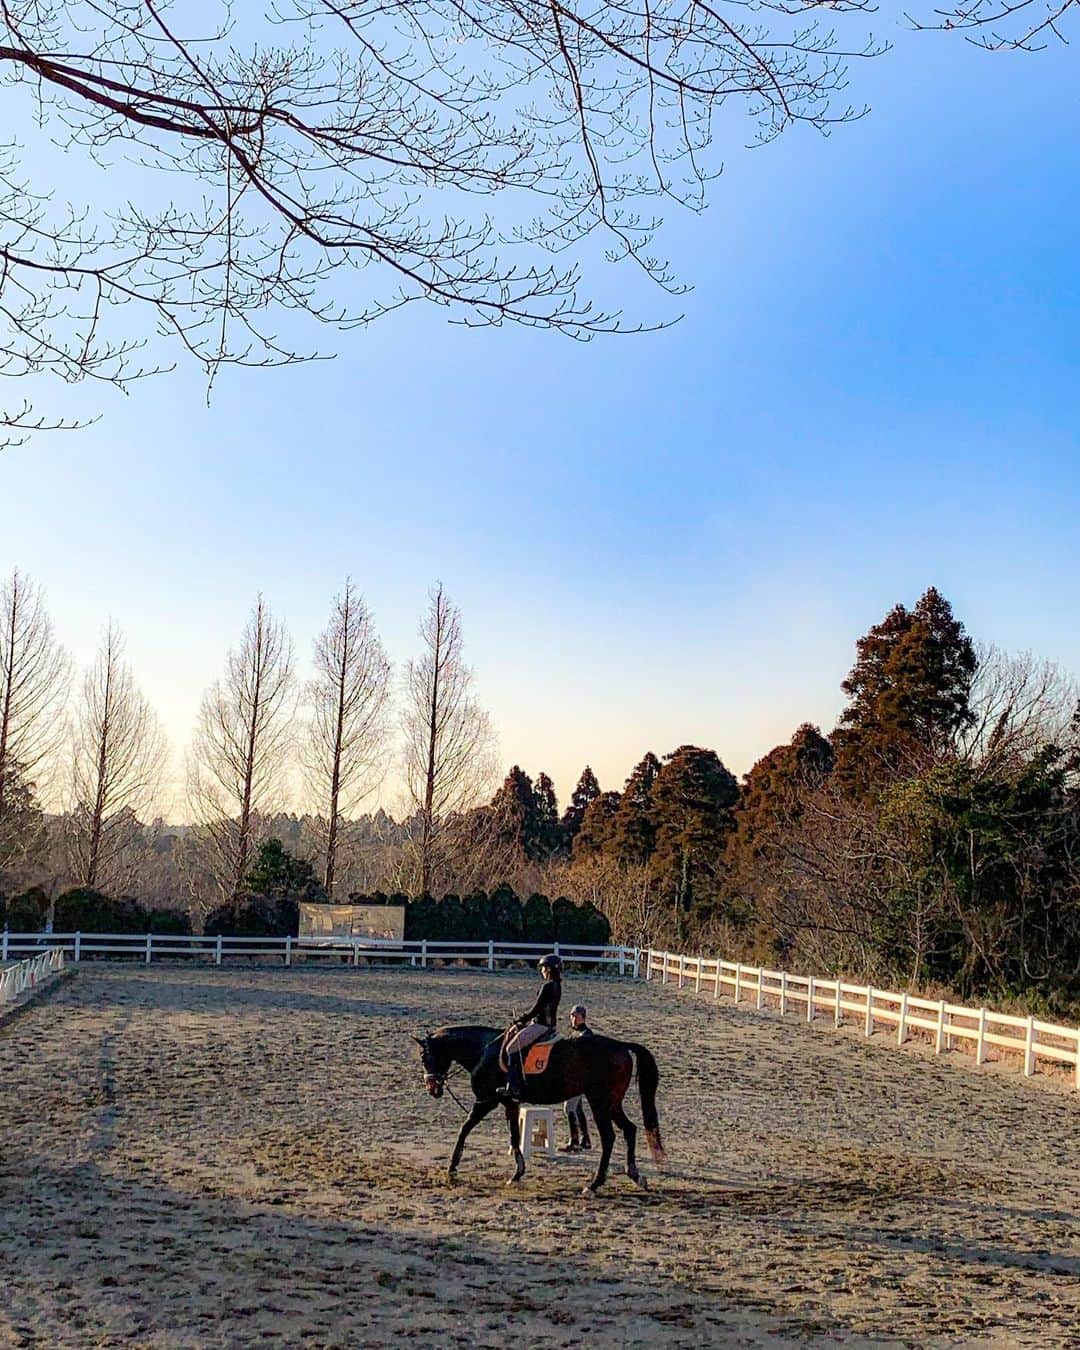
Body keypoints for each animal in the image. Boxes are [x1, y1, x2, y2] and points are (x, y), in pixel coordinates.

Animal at [413, 1024, 665, 1194]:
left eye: (425, 1057)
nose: (432, 1088)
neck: (482, 1050)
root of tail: (621, 1046)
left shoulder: (486, 1101)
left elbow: (465, 1128)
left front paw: (452, 1166)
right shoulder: (509, 1103)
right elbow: (514, 1135)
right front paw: (517, 1173)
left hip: (600, 1102)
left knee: (609, 1137)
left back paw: (594, 1184)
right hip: (611, 1103)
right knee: (629, 1130)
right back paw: (635, 1175)